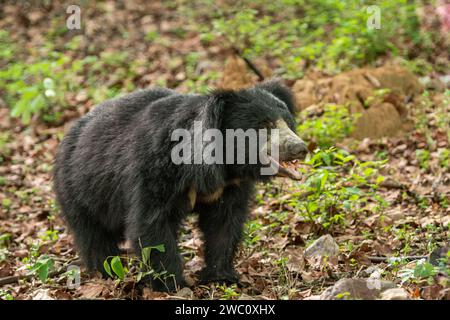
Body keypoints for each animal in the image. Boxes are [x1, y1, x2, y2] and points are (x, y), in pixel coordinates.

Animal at [52, 79, 306, 292]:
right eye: (264, 125)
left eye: (288, 122)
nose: (299, 147)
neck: (223, 166)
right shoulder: (155, 170)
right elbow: (151, 225)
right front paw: (174, 284)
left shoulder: (229, 187)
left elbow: (224, 223)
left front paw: (222, 276)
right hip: (79, 190)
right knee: (94, 237)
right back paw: (106, 272)